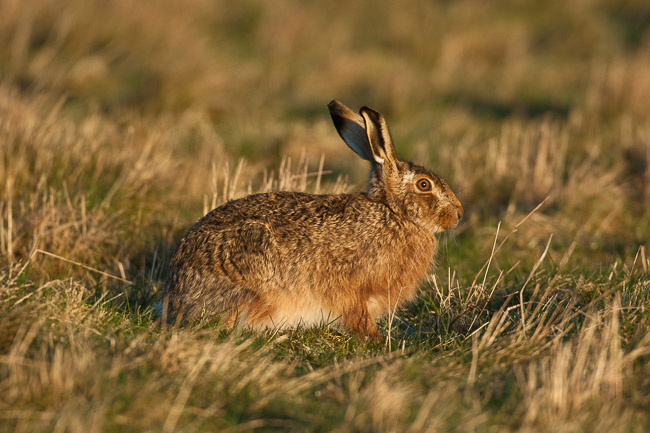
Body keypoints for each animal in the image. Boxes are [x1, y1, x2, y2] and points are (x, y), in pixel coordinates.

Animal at [164, 100, 463, 338]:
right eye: (424, 185)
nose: (458, 214)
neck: (393, 213)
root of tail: (177, 294)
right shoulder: (351, 289)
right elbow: (358, 315)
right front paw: (376, 340)